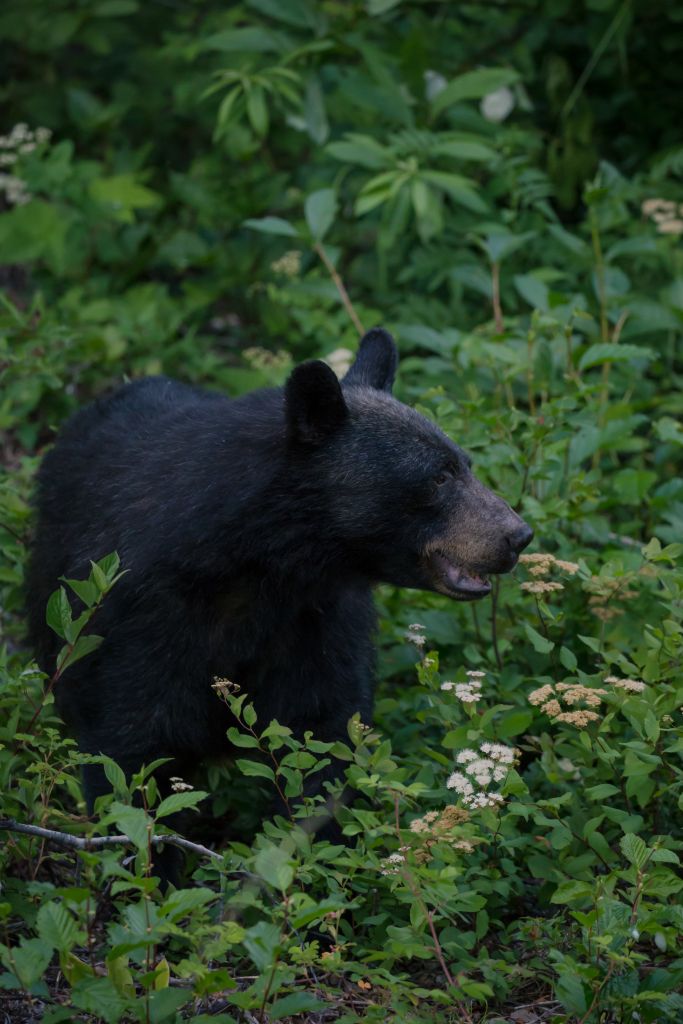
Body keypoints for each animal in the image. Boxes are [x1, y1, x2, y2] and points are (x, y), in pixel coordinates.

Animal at [28, 327, 532, 823]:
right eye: (438, 477)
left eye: (464, 463)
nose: (518, 536)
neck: (260, 560)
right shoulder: (141, 612)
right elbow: (134, 744)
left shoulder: (316, 614)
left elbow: (322, 729)